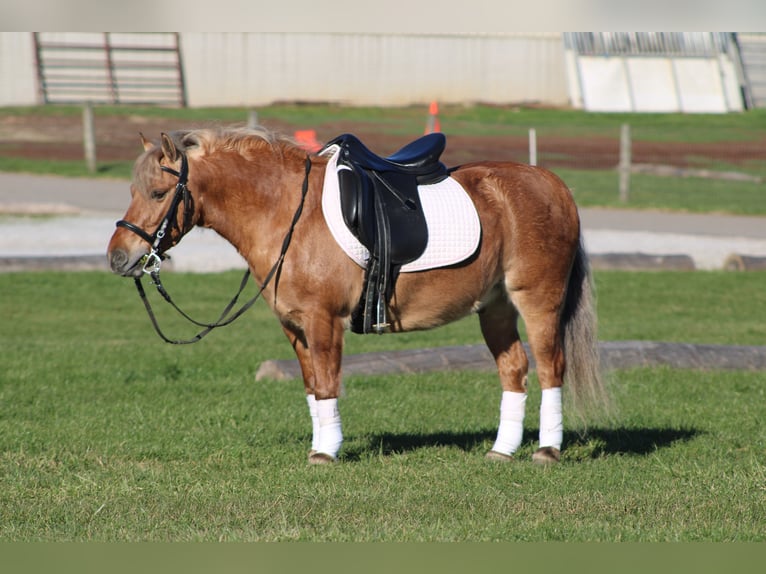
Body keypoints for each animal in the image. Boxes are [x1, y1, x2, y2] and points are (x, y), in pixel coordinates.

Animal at [107, 127, 606, 465]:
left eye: (158, 192)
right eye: (132, 190)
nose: (117, 257)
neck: (286, 213)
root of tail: (553, 184)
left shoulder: (323, 320)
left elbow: (328, 384)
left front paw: (326, 453)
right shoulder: (294, 327)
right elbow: (312, 387)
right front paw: (319, 445)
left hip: (537, 300)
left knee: (551, 367)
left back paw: (547, 450)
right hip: (495, 307)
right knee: (515, 369)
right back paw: (503, 450)